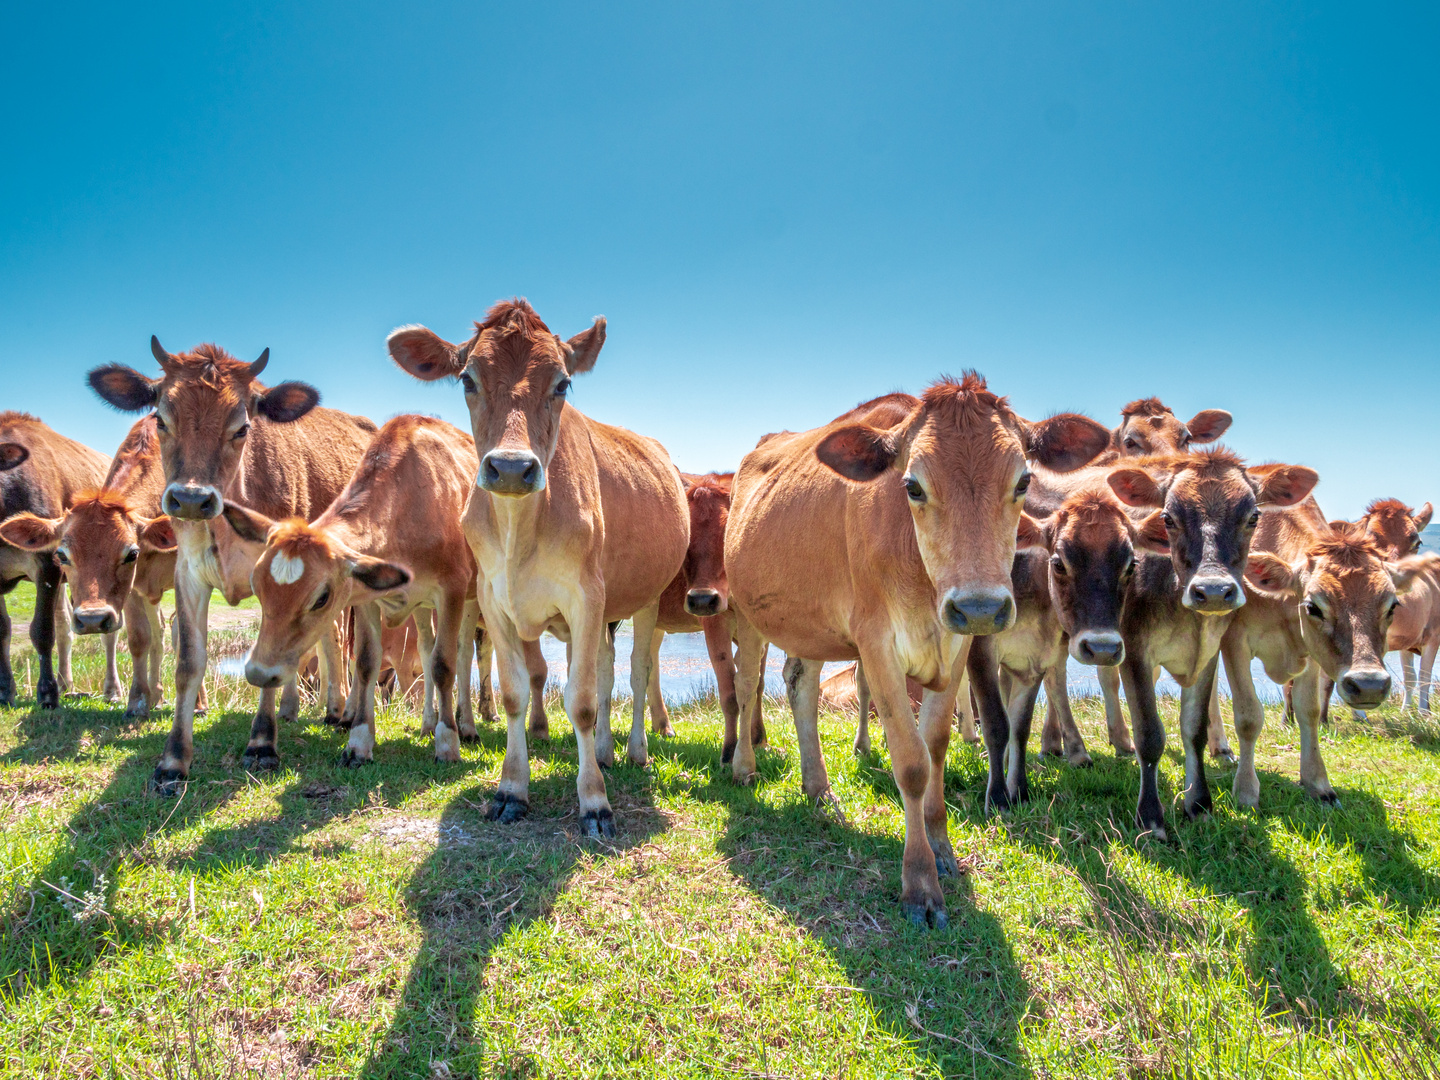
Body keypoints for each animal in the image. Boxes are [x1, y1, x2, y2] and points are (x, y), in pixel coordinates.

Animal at [0, 411, 113, 711]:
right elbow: (3, 629)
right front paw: (5, 691)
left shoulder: (47, 563)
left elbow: (41, 631)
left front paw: (47, 693)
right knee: (66, 625)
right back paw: (66, 683)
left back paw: (112, 690)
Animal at [83, 338, 377, 794]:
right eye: (161, 418)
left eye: (243, 428)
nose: (190, 499)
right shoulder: (188, 575)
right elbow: (189, 662)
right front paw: (173, 761)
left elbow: (270, 657)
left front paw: (262, 744)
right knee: (325, 637)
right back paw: (307, 709)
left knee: (347, 645)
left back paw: (343, 713)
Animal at [391, 300, 688, 840]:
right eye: (467, 379)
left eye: (562, 384)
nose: (511, 467)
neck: (519, 532)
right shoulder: (493, 599)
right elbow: (515, 693)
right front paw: (512, 789)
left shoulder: (586, 596)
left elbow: (582, 700)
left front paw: (594, 802)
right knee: (605, 668)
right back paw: (604, 750)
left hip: (647, 599)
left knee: (636, 673)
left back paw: (634, 750)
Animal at [725, 377, 1105, 927]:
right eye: (913, 486)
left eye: (1023, 482)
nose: (980, 605)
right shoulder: (877, 646)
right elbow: (910, 762)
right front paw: (920, 884)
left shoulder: (957, 645)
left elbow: (938, 748)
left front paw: (943, 849)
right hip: (747, 609)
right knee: (745, 680)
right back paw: (744, 768)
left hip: (808, 620)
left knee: (800, 684)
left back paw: (818, 788)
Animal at [1100, 452, 1319, 840]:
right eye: (1168, 518)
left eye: (1253, 517)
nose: (1214, 591)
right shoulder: (1134, 649)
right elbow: (1150, 734)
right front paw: (1151, 817)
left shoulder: (1208, 651)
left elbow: (1194, 728)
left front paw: (1198, 804)